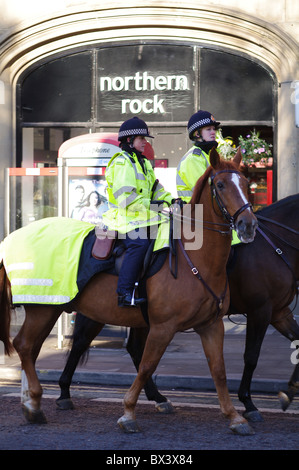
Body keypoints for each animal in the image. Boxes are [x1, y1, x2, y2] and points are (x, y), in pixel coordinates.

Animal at [0, 149, 258, 436]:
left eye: (246, 183)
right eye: (221, 185)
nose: (248, 224)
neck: (193, 257)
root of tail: (13, 237)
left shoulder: (211, 325)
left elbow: (219, 371)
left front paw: (235, 417)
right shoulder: (163, 327)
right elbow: (146, 366)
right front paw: (128, 412)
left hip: (51, 307)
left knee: (31, 348)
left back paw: (30, 402)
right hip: (42, 308)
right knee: (25, 346)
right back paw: (34, 402)